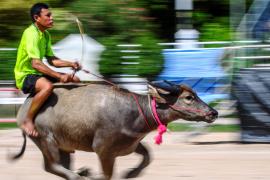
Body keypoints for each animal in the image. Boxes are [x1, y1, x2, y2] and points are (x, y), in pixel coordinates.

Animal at [9, 81, 218, 179]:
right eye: (189, 97)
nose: (213, 113)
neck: (134, 113)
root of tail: (24, 108)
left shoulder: (132, 144)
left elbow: (148, 156)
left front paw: (130, 174)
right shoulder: (104, 151)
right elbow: (107, 175)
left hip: (63, 146)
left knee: (57, 166)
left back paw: (82, 173)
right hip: (47, 140)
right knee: (52, 166)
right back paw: (80, 176)